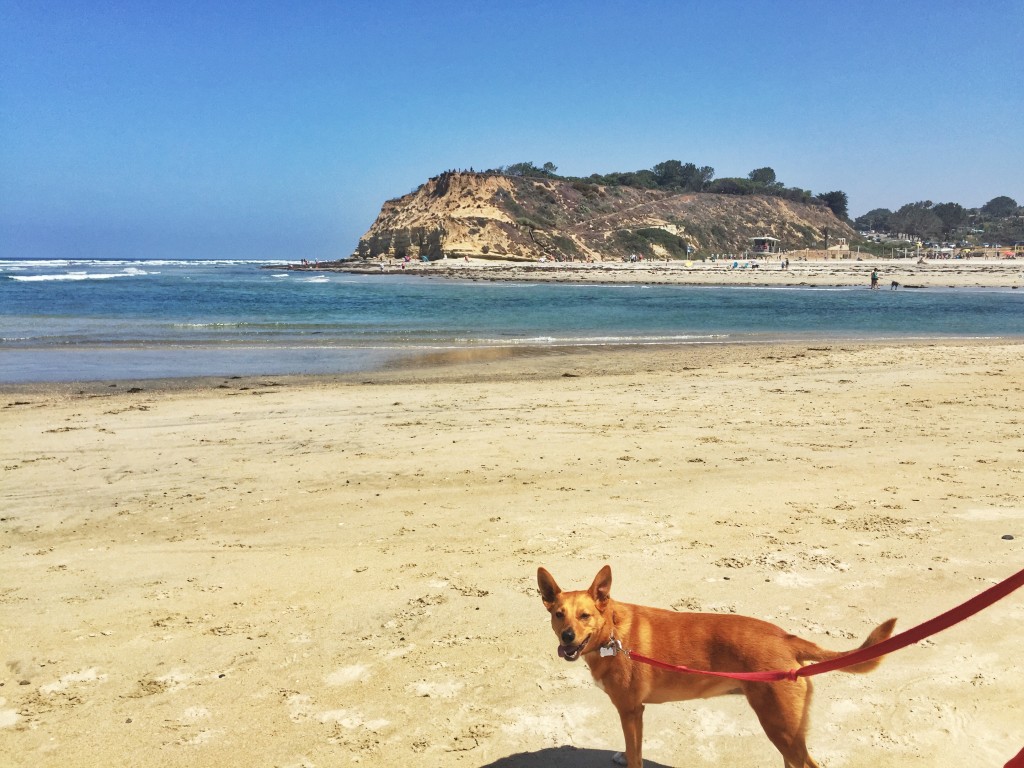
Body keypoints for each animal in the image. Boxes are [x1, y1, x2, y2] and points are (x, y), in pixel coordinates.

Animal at [536, 565, 897, 768]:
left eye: (585, 616)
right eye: (559, 615)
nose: (567, 637)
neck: (612, 633)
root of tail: (787, 638)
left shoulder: (630, 710)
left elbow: (635, 756)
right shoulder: (635, 712)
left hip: (781, 728)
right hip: (785, 732)